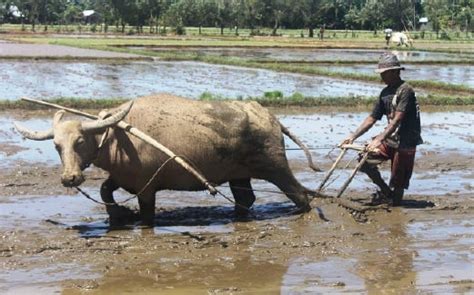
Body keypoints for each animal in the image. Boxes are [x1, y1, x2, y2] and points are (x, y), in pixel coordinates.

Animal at [14, 95, 320, 227]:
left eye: (79, 141)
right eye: (56, 145)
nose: (70, 178)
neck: (119, 136)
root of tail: (270, 118)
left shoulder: (146, 188)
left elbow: (147, 214)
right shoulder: (122, 178)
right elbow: (104, 191)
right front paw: (118, 215)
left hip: (275, 167)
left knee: (300, 194)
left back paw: (301, 215)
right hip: (239, 175)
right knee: (246, 199)